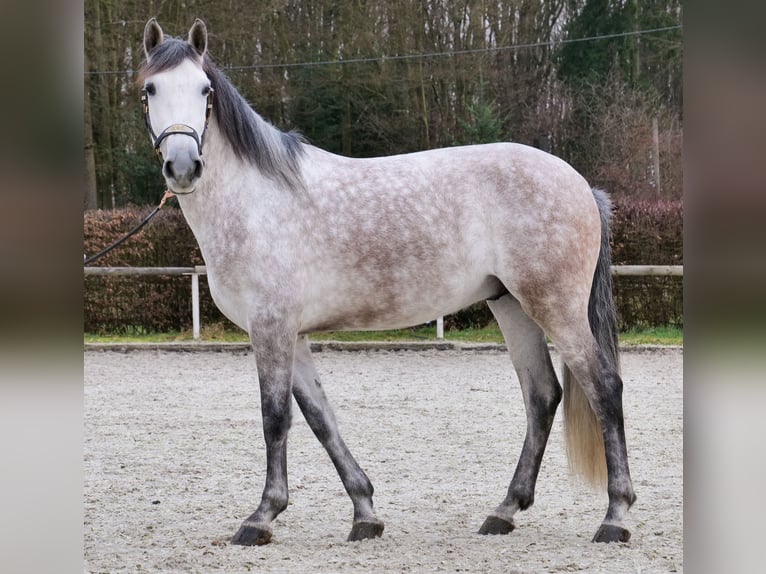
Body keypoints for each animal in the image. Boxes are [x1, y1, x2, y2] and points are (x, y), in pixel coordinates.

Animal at [137, 18, 635, 546]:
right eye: (150, 89)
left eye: (205, 90)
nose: (183, 166)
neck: (254, 201)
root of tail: (581, 185)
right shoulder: (292, 334)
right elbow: (321, 418)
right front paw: (364, 512)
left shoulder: (270, 327)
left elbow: (275, 417)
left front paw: (261, 516)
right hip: (512, 306)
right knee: (542, 396)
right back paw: (504, 511)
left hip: (555, 307)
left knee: (605, 388)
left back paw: (615, 516)